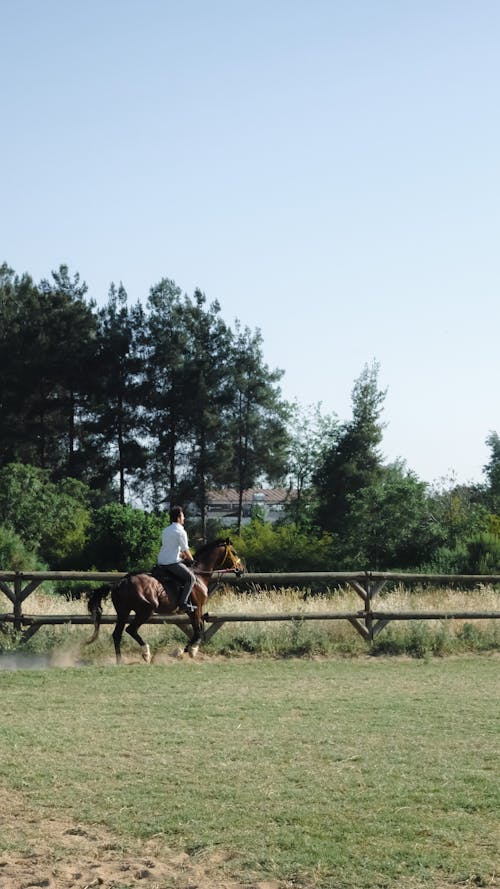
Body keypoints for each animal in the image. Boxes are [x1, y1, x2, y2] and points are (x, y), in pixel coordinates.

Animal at [87, 536, 243, 664]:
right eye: (234, 553)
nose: (241, 570)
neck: (199, 575)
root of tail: (120, 582)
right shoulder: (196, 608)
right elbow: (198, 630)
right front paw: (186, 651)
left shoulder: (193, 611)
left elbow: (197, 630)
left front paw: (187, 651)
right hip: (145, 611)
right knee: (130, 630)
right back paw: (146, 654)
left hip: (123, 612)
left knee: (117, 634)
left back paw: (120, 661)